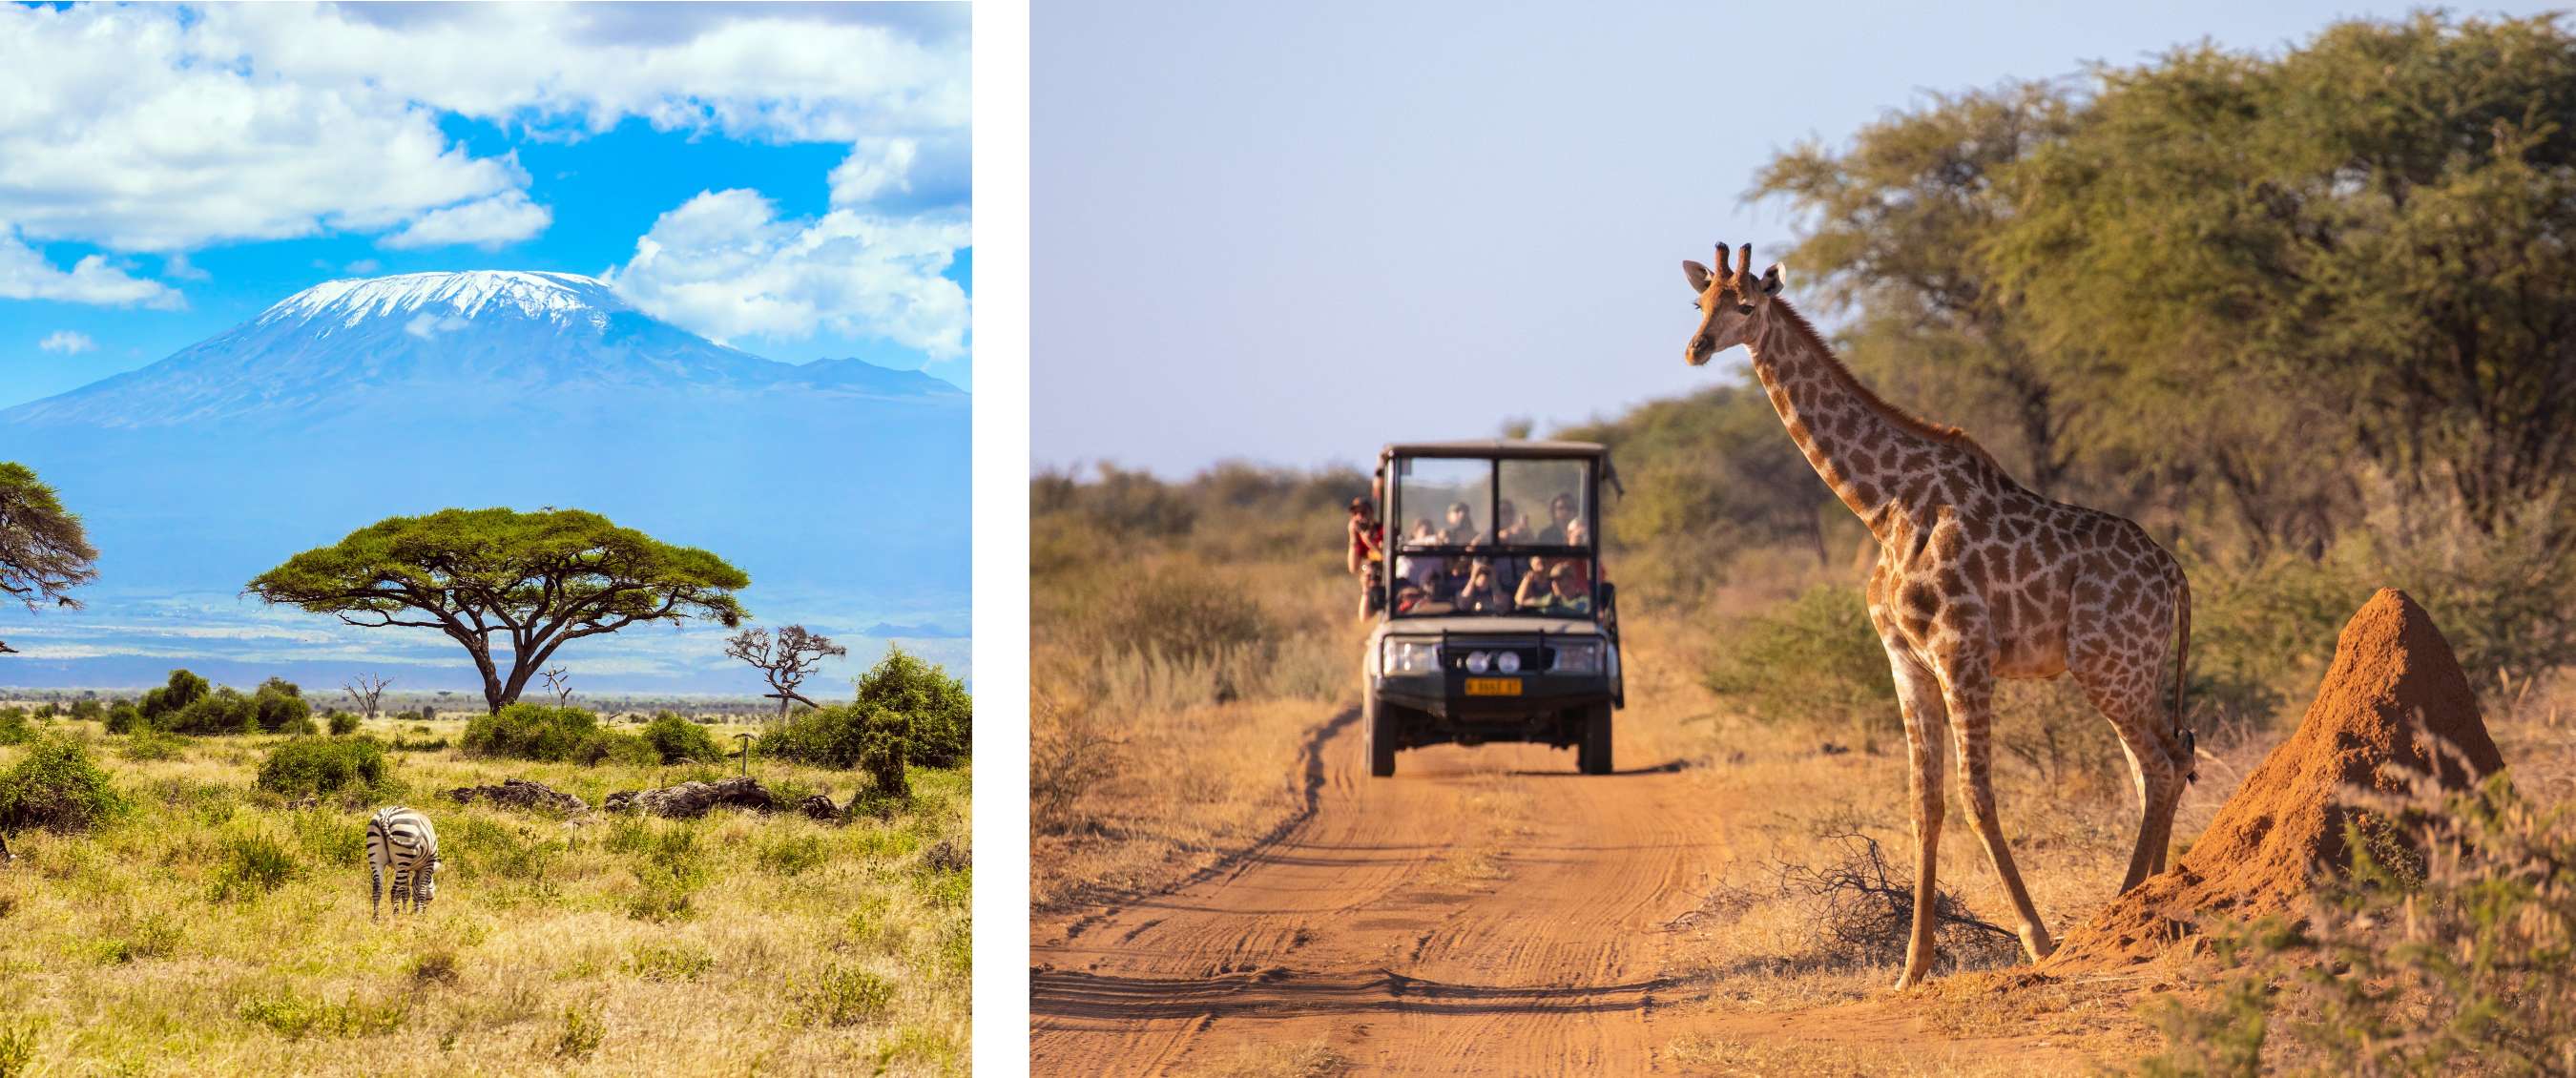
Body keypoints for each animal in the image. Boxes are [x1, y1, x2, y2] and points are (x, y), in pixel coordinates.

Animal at [1680, 242, 2195, 988]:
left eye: (1746, 305)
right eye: (1700, 302)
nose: (1695, 349)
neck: (1881, 507)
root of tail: (2175, 574)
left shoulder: (1961, 651)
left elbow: (1976, 795)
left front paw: (2039, 941)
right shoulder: (1906, 661)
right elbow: (1925, 806)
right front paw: (1912, 967)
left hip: (2107, 666)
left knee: (2159, 764)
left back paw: (2124, 906)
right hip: (2134, 668)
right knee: (2166, 761)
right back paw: (2148, 897)